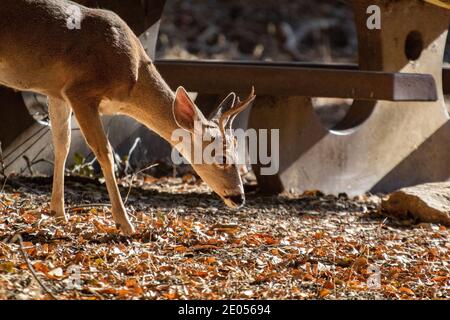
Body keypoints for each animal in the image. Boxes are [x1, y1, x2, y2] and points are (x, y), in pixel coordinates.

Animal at [0, 0, 255, 235]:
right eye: (221, 156)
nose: (239, 198)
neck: (133, 78)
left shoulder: (56, 92)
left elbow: (62, 145)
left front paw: (58, 213)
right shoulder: (81, 90)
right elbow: (105, 153)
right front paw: (125, 223)